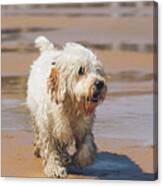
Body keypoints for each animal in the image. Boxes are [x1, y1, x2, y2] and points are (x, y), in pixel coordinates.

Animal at [26, 35, 107, 178]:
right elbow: (50, 148)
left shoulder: (84, 127)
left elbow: (86, 145)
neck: (71, 106)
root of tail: (48, 51)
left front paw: (79, 161)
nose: (99, 83)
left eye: (98, 70)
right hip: (35, 115)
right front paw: (54, 169)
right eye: (81, 70)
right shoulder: (48, 128)